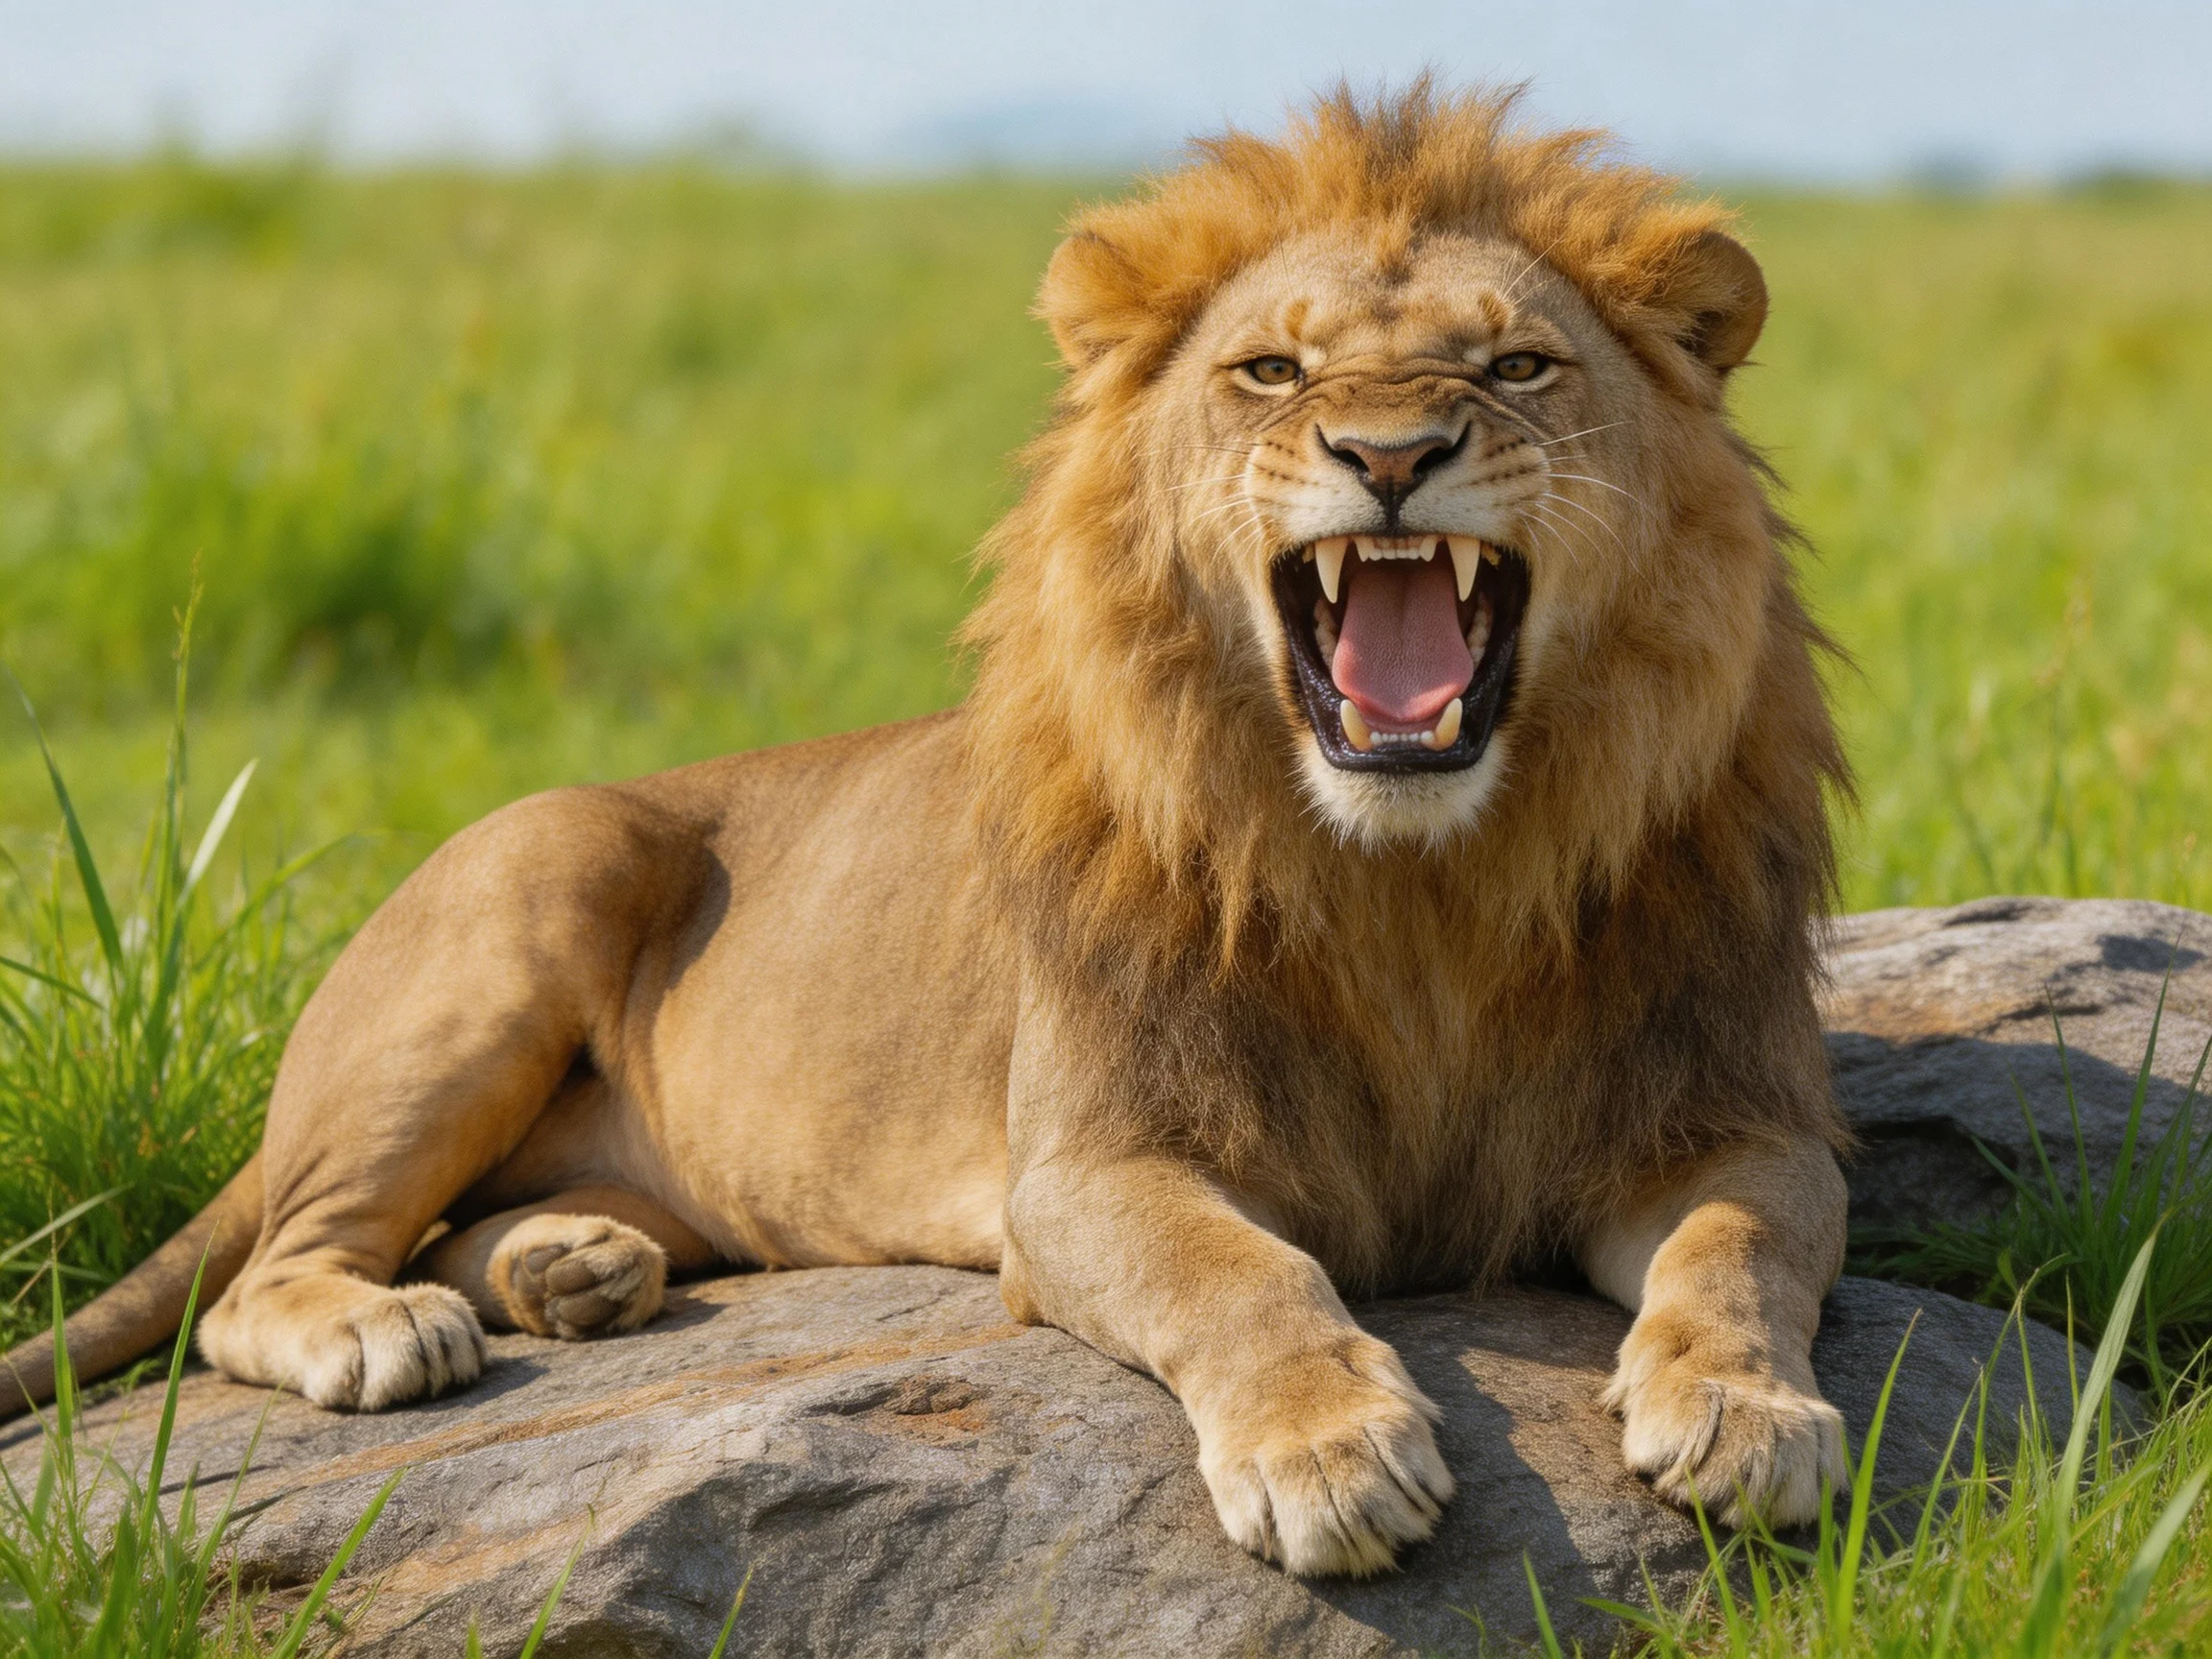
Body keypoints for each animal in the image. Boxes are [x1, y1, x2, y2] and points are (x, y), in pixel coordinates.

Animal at [1, 84, 1853, 1578]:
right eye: (1271, 369)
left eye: (1514, 364)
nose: (1388, 452)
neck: (1421, 882)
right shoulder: (1089, 1166)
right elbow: (1239, 1278)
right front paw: (1327, 1453)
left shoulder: (1723, 1115)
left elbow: (1742, 1246)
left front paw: (1746, 1414)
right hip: (530, 890)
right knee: (265, 1276)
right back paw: (391, 1327)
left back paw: (572, 1266)